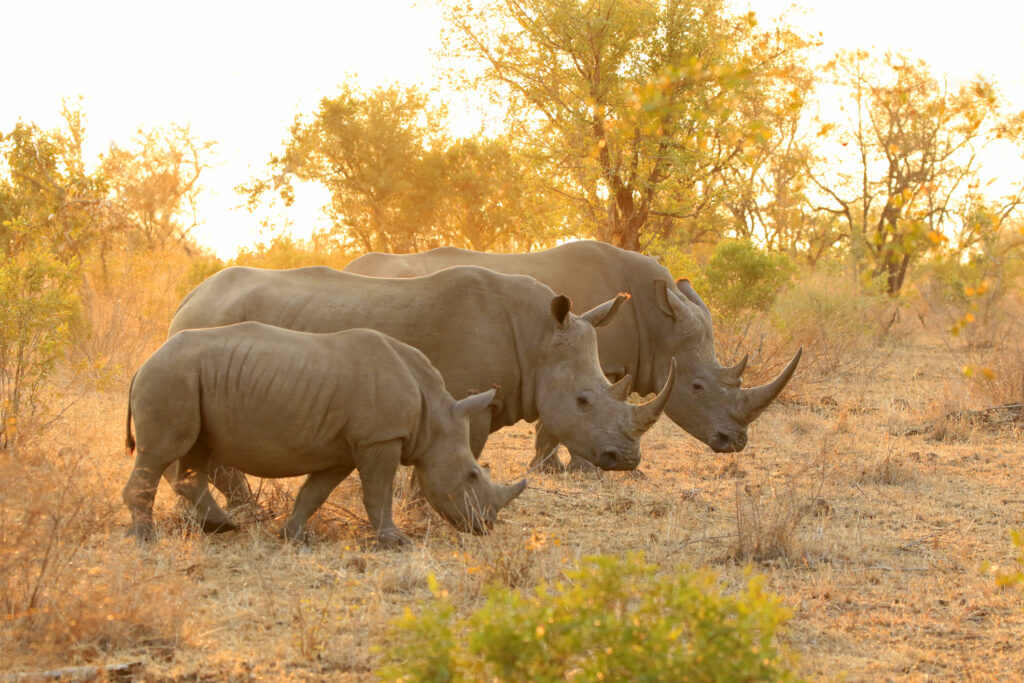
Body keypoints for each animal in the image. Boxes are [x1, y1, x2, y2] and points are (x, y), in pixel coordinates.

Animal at [122, 321, 524, 548]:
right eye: (472, 476)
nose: (486, 526)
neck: (435, 416)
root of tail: (143, 363)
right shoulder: (380, 438)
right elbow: (378, 493)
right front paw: (395, 542)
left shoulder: (345, 449)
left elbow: (314, 493)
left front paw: (292, 537)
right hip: (172, 376)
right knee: (161, 453)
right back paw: (146, 539)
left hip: (186, 379)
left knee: (195, 452)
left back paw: (220, 527)